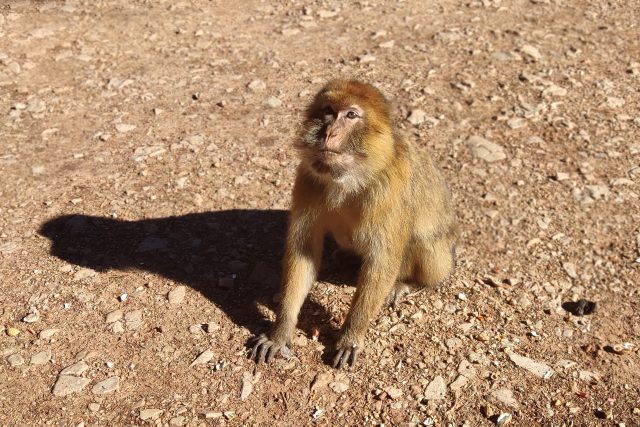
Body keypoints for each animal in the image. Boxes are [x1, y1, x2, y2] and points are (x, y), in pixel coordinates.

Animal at [249, 79, 456, 368]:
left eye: (350, 115)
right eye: (328, 111)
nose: (329, 132)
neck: (350, 178)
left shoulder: (389, 190)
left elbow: (382, 260)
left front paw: (350, 336)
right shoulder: (307, 179)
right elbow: (303, 252)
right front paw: (280, 332)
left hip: (442, 257)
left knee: (425, 244)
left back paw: (408, 284)